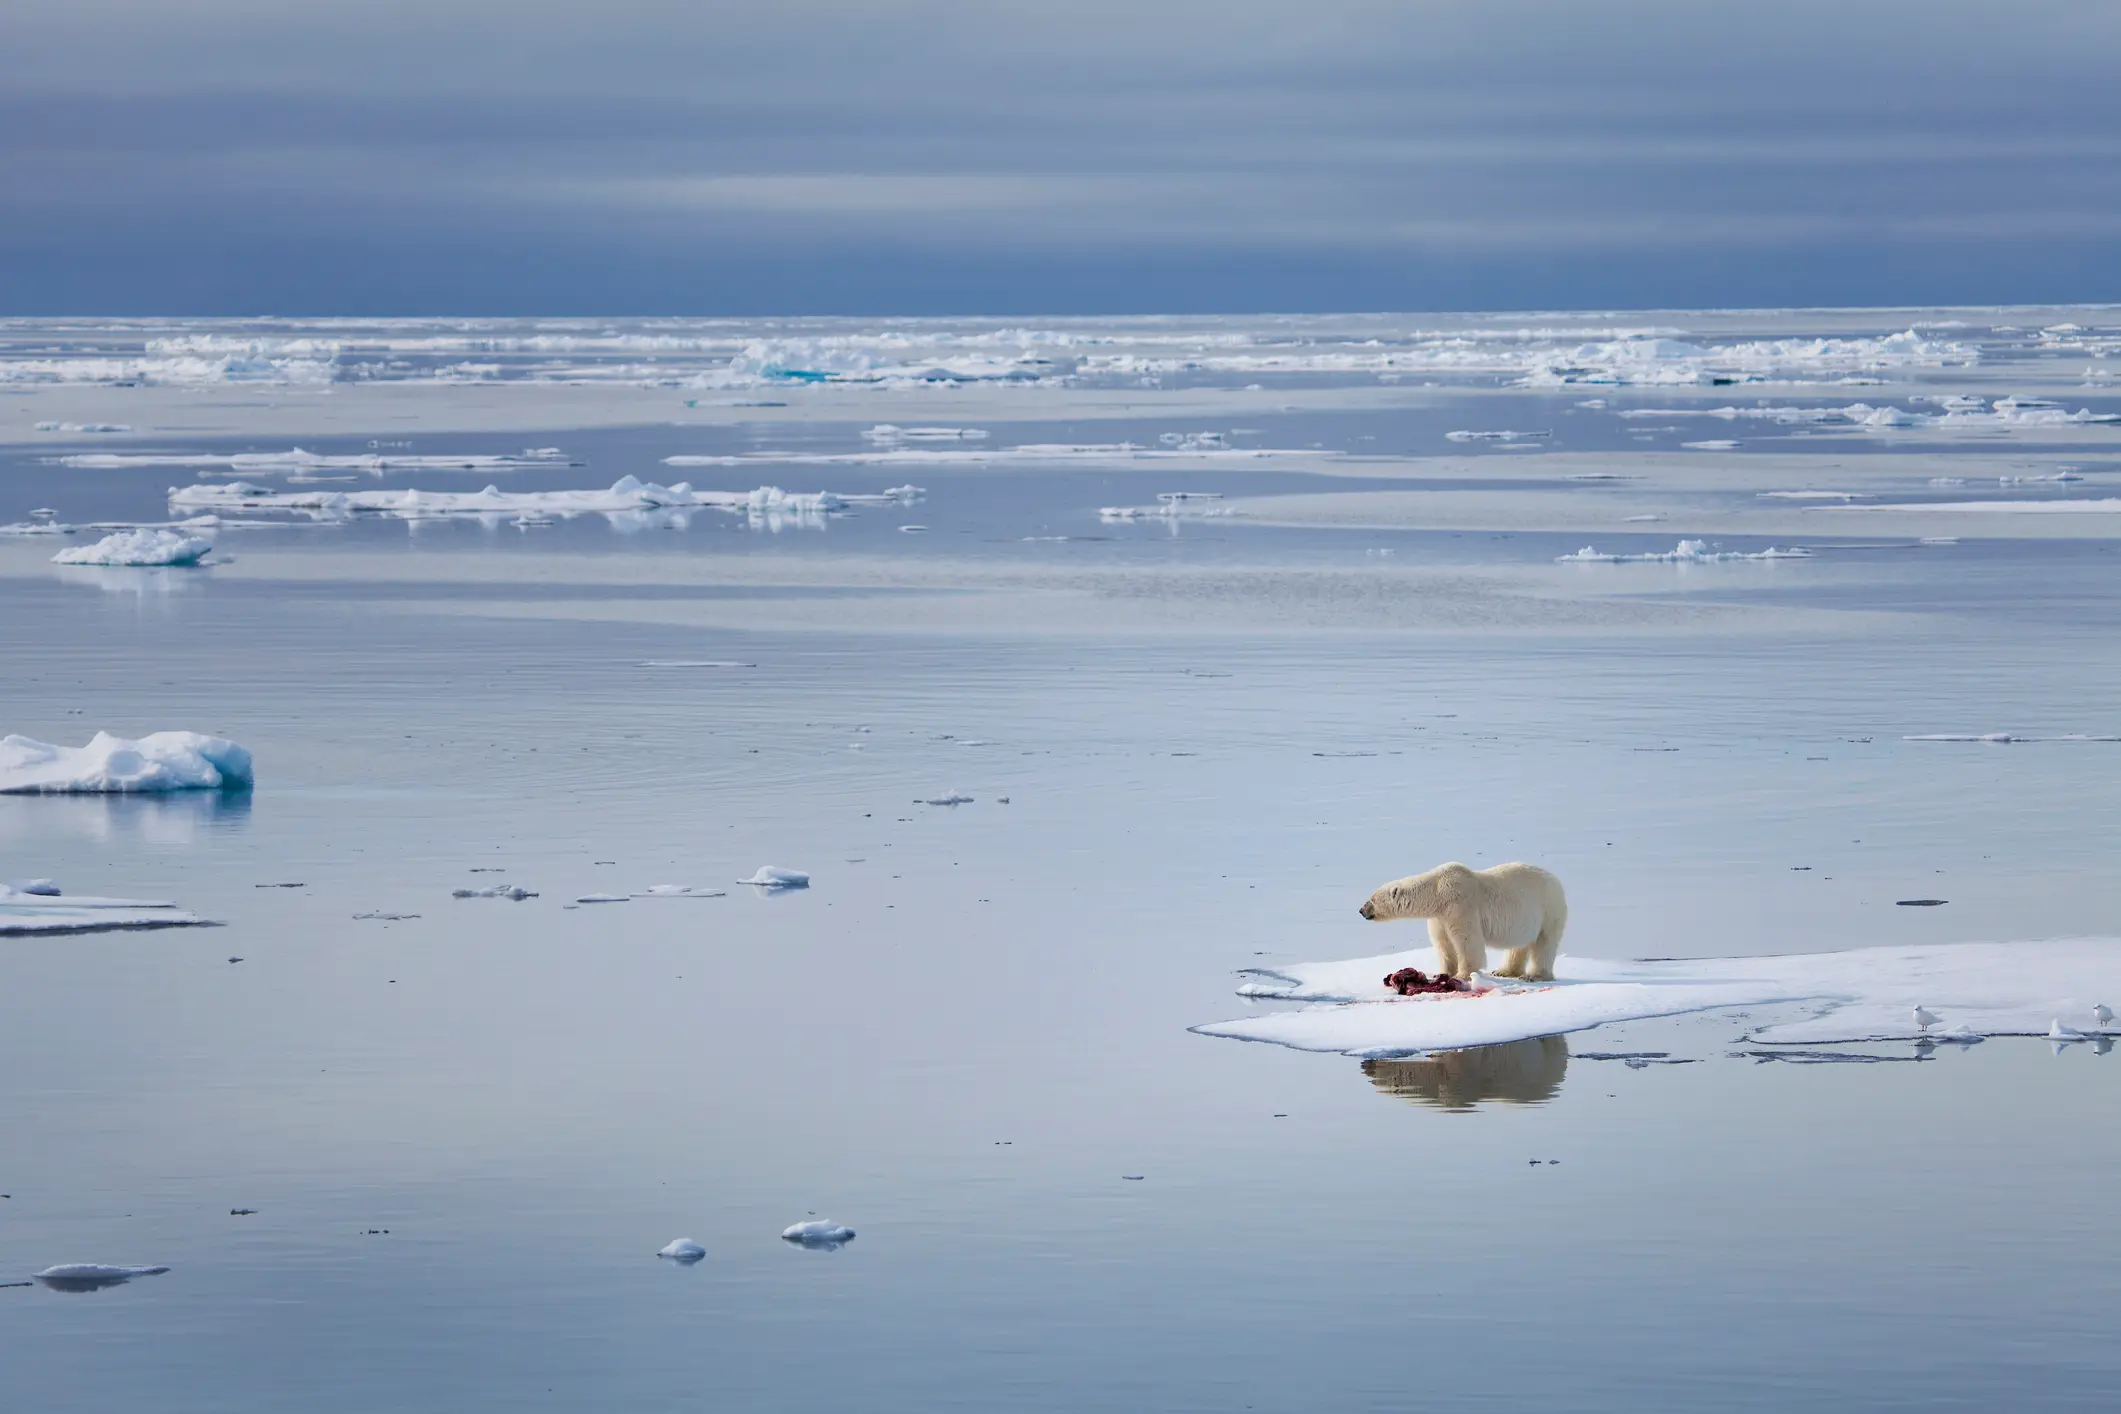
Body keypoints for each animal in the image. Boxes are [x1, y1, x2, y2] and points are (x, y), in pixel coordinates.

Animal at [1358, 861, 1567, 981]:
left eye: (1372, 899)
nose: (1361, 910)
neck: (1437, 890)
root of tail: (1558, 881)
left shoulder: (1459, 904)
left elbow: (1466, 940)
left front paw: (1463, 974)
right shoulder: (1439, 915)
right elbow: (1443, 943)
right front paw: (1442, 973)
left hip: (1549, 910)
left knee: (1544, 943)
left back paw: (1534, 976)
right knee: (1520, 945)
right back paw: (1504, 971)